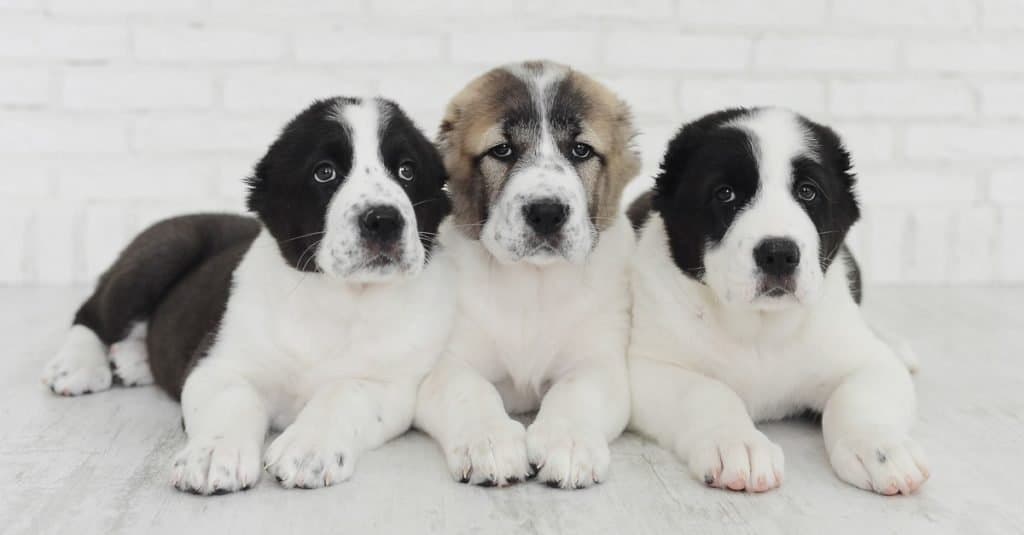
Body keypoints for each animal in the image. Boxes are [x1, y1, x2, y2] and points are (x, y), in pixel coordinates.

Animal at [41, 94, 452, 491]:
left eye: (407, 171)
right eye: (325, 172)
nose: (383, 220)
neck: (341, 299)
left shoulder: (392, 387)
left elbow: (344, 392)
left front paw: (309, 449)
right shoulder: (217, 365)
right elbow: (232, 401)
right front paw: (213, 455)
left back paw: (133, 361)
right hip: (162, 251)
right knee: (91, 312)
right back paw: (78, 366)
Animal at [413, 61, 638, 487]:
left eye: (581, 150)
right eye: (502, 150)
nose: (546, 212)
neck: (534, 283)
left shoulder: (600, 362)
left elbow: (576, 390)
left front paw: (568, 443)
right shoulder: (444, 364)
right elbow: (470, 390)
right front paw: (489, 442)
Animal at [626, 108, 933, 496]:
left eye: (808, 191)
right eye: (725, 194)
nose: (779, 254)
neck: (761, 326)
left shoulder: (868, 362)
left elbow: (861, 397)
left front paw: (880, 447)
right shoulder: (648, 367)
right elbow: (707, 391)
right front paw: (736, 444)